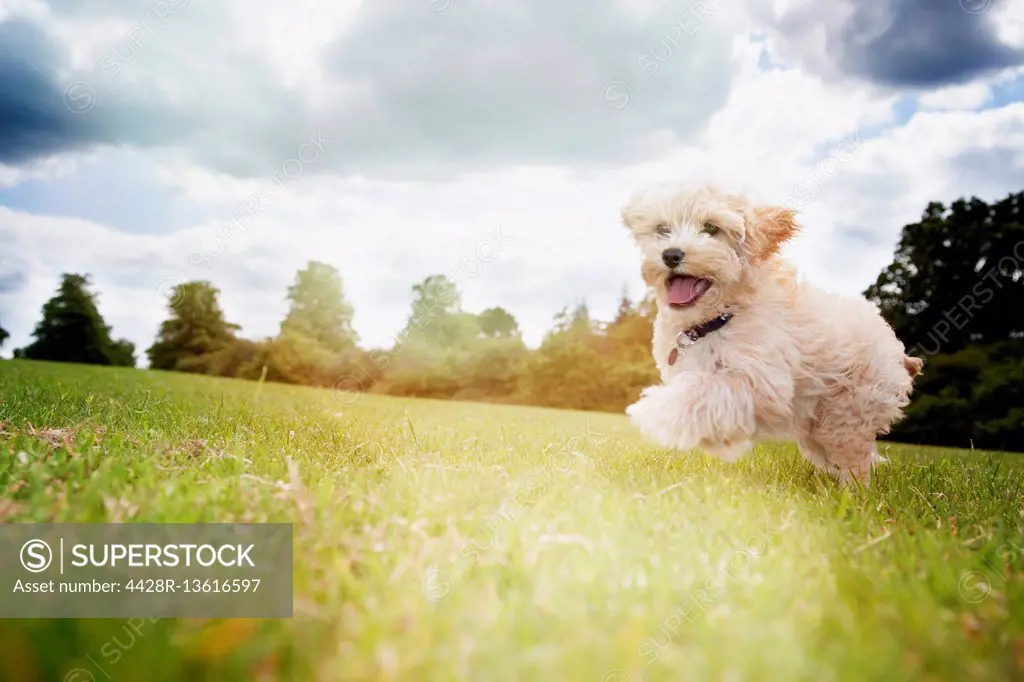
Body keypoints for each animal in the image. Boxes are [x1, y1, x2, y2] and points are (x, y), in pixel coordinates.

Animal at [618, 184, 925, 483]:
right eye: (662, 229)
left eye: (711, 228)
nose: (671, 255)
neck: (718, 319)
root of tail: (898, 355)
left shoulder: (761, 381)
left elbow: (705, 390)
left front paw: (654, 412)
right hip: (819, 427)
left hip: (847, 415)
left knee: (857, 462)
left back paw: (851, 493)